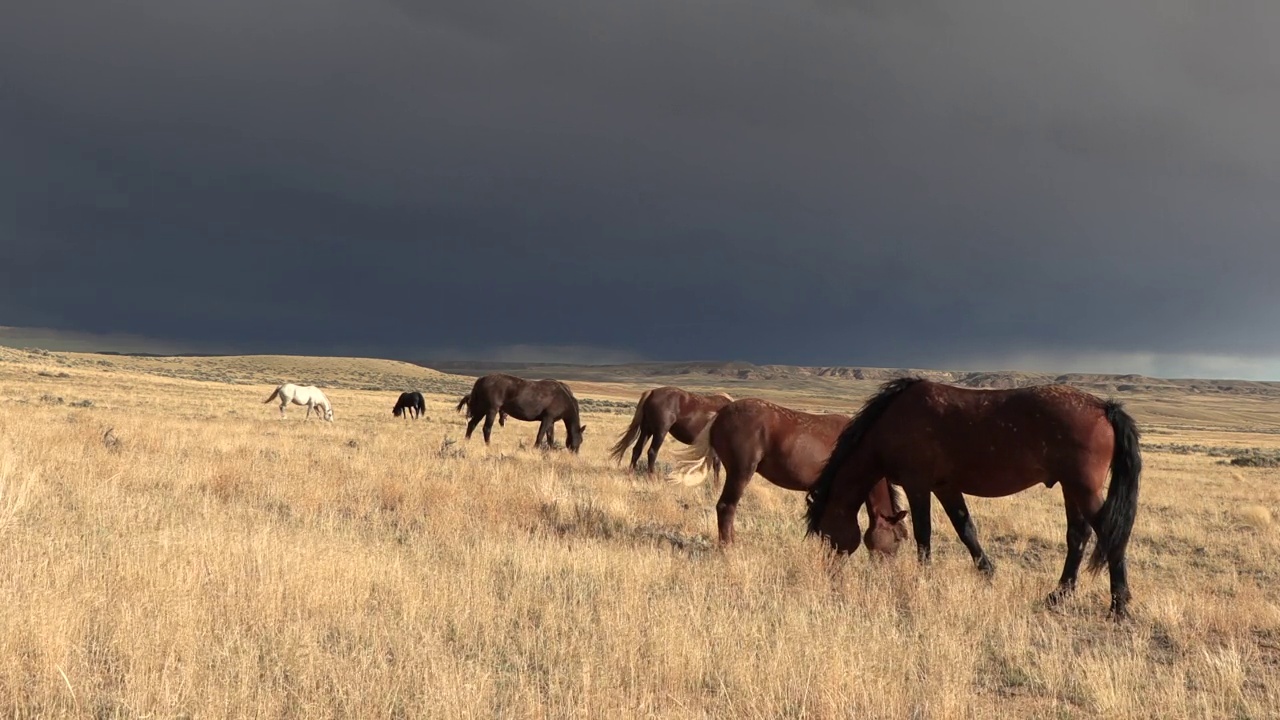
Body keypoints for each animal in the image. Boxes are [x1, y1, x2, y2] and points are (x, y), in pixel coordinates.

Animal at [455, 371, 586, 450]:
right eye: (579, 441)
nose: (575, 454)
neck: (563, 398)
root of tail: (482, 379)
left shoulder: (551, 421)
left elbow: (550, 438)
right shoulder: (547, 419)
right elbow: (540, 435)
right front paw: (535, 449)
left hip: (482, 409)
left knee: (472, 424)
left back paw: (466, 442)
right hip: (491, 410)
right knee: (486, 428)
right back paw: (488, 446)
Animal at [606, 384, 737, 479]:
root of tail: (652, 392)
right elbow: (717, 465)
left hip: (647, 430)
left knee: (637, 449)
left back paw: (631, 475)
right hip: (660, 431)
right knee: (652, 452)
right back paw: (652, 478)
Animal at [803, 376, 1146, 617]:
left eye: (825, 534)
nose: (829, 575)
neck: (893, 421)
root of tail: (1104, 408)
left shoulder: (919, 486)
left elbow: (924, 534)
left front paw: (924, 579)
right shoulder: (946, 487)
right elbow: (966, 530)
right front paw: (988, 573)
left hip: (1082, 488)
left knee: (1109, 535)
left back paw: (1118, 606)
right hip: (1070, 488)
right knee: (1078, 536)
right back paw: (1058, 595)